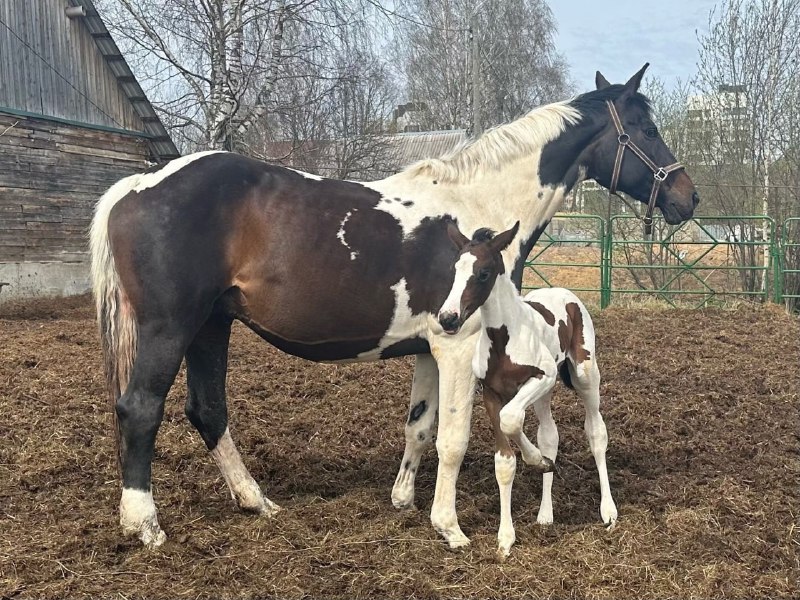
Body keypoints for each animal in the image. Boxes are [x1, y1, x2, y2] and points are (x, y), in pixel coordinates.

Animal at [438, 221, 620, 556]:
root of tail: (563, 292)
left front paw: (535, 460)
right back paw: (545, 514)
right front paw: (505, 538)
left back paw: (608, 511)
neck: (503, 340)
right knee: (549, 435)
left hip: (585, 376)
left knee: (596, 432)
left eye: (483, 272)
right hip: (542, 397)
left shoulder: (542, 376)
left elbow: (511, 420)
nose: (448, 318)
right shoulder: (492, 393)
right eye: (455, 269)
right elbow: (505, 459)